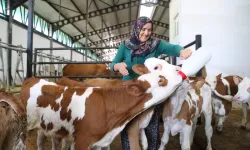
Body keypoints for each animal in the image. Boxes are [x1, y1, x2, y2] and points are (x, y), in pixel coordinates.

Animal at [20, 61, 183, 150]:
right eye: (160, 79)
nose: (179, 70)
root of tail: (33, 78)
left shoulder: (98, 142)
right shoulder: (82, 141)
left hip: (47, 124)